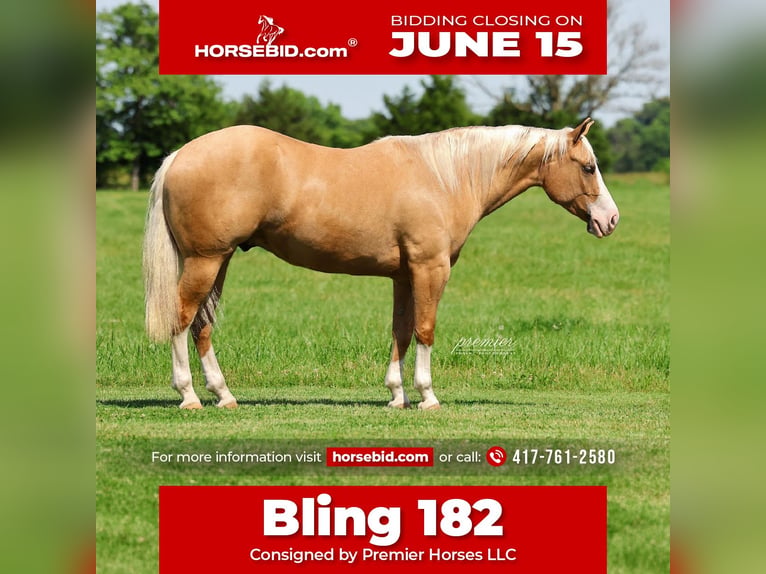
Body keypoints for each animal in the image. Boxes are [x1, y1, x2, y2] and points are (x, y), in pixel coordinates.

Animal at [143, 118, 619, 410]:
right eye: (589, 167)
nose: (610, 220)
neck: (445, 177)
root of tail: (180, 155)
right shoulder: (430, 269)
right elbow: (425, 330)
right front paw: (427, 396)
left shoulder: (403, 275)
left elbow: (401, 331)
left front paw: (396, 395)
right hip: (205, 261)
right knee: (181, 321)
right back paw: (188, 395)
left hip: (218, 262)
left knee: (202, 326)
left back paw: (223, 394)